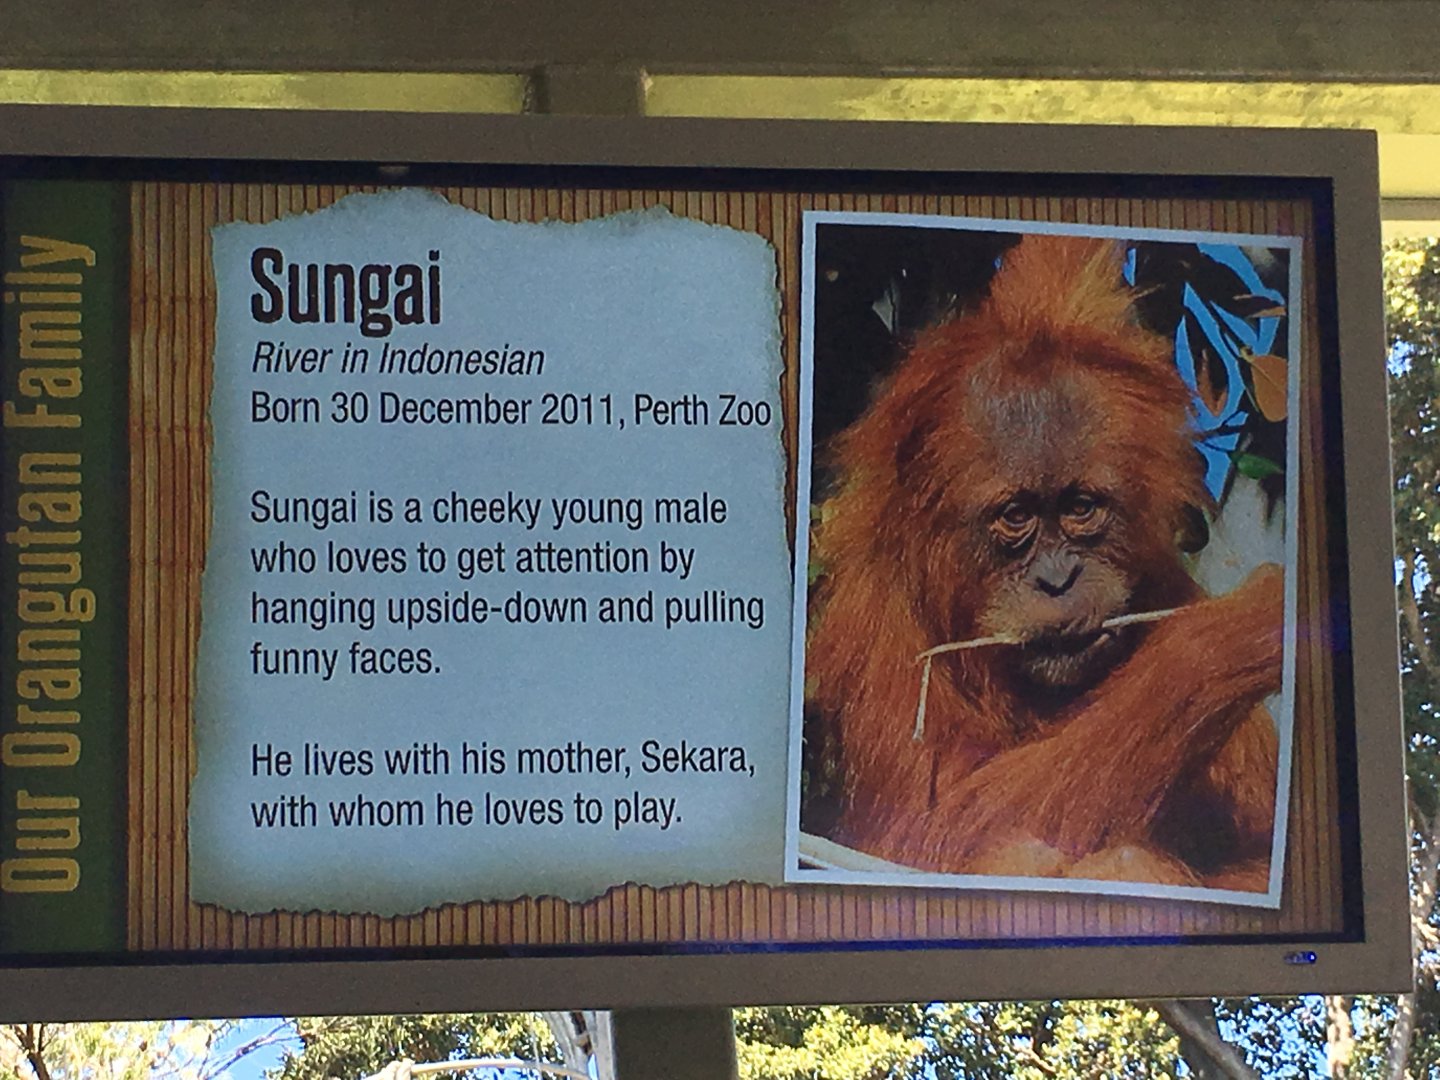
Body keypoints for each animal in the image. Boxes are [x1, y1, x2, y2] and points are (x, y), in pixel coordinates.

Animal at [802, 233, 1283, 890]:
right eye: (1016, 516)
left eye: (1080, 507)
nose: (1058, 580)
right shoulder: (885, 631)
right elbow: (930, 833)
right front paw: (1241, 630)